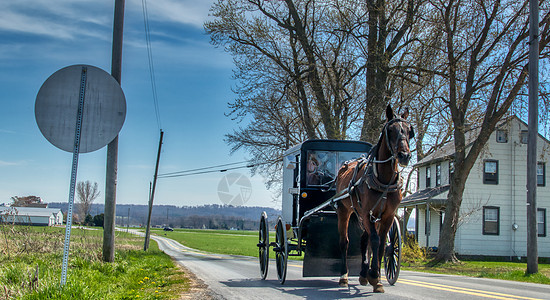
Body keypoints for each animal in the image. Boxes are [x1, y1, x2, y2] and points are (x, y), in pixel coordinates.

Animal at [336, 104, 414, 292]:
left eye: (409, 130)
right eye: (390, 130)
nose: (404, 156)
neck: (383, 180)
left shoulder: (387, 216)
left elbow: (381, 245)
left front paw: (376, 278)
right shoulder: (367, 212)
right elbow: (376, 240)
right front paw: (373, 274)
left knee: (365, 240)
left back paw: (363, 274)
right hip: (345, 211)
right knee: (345, 242)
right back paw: (344, 276)